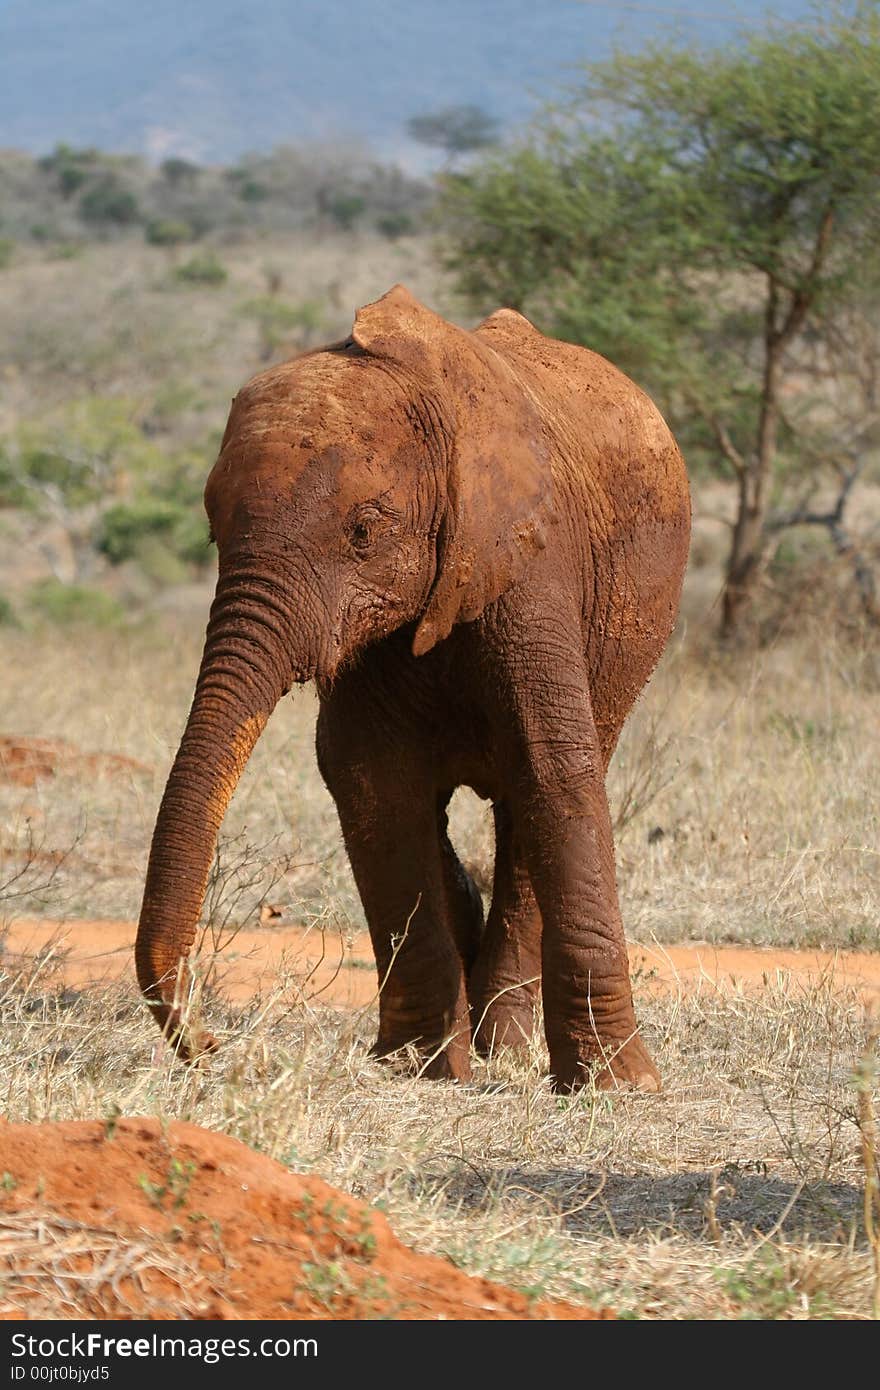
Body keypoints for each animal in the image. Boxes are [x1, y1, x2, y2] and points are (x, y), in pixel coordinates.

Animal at [134, 282, 689, 1089]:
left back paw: (507, 1047)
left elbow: (556, 765)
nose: (209, 1047)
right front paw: (420, 1067)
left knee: (539, 790)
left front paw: (618, 1086)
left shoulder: (530, 560)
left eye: (364, 532)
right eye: (213, 534)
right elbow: (370, 777)